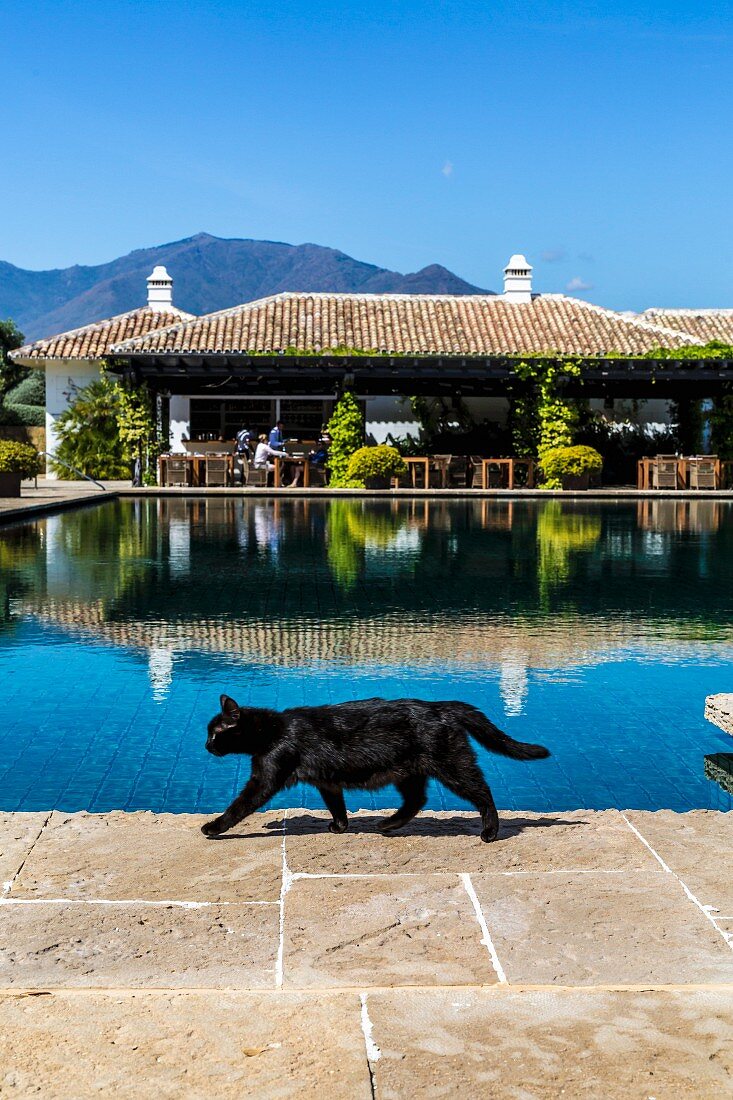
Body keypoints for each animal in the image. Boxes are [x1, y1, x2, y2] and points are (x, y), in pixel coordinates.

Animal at [200, 695, 548, 840]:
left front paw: (214, 828)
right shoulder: (327, 781)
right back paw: (389, 824)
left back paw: (490, 832)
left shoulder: (265, 778)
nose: (206, 746)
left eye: (214, 733)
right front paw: (340, 827)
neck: (274, 730)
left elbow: (238, 806)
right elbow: (336, 805)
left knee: (483, 793)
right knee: (416, 801)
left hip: (452, 766)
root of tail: (441, 706)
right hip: (409, 772)